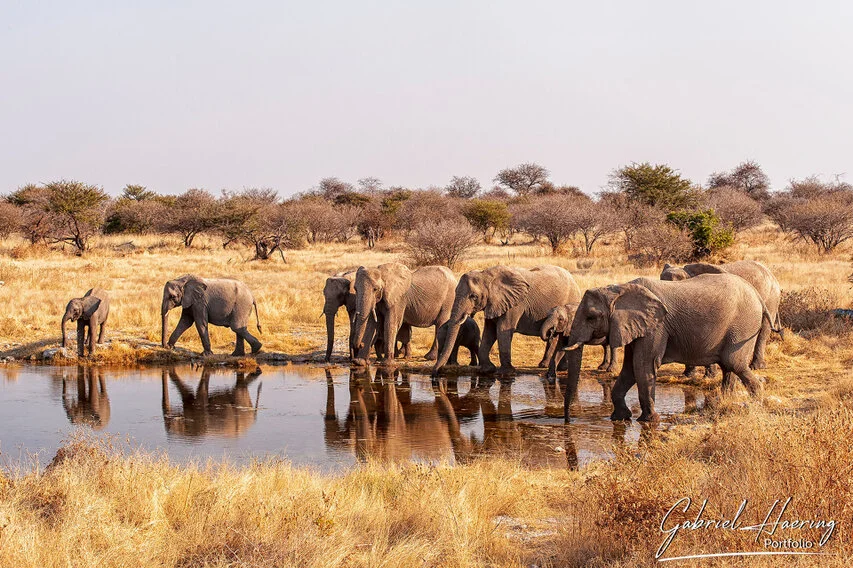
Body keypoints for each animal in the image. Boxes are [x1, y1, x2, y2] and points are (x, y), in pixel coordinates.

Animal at [433, 265, 582, 374]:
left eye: (473, 296)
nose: (436, 374)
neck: (487, 275)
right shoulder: (494, 303)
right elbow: (489, 332)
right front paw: (488, 370)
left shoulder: (514, 304)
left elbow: (503, 330)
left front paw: (507, 372)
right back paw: (555, 367)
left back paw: (549, 366)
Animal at [562, 274, 780, 422]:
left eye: (591, 317)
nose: (568, 421)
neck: (618, 289)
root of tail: (757, 295)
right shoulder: (634, 326)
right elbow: (630, 369)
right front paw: (620, 417)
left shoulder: (656, 326)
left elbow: (643, 366)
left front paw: (649, 420)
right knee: (729, 368)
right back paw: (724, 402)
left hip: (743, 325)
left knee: (734, 363)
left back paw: (756, 402)